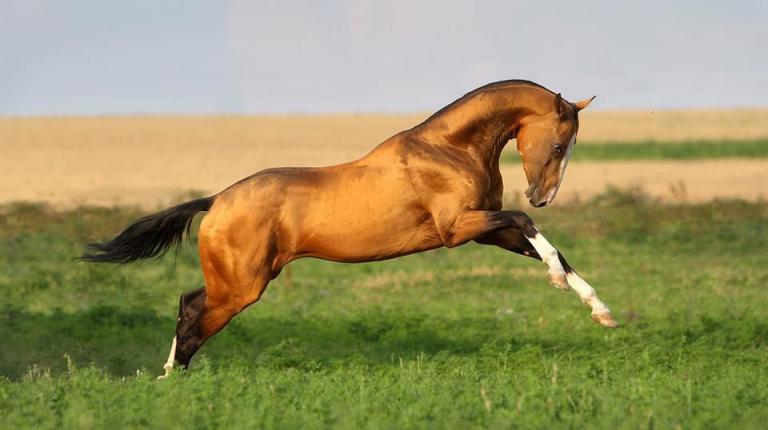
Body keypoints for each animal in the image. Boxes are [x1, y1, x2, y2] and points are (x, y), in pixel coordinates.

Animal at [82, 80, 617, 379]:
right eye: (559, 145)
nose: (542, 195)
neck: (449, 148)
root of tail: (216, 201)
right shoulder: (458, 228)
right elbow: (526, 224)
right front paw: (561, 281)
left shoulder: (483, 229)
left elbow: (546, 245)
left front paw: (602, 311)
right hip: (240, 287)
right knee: (193, 313)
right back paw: (170, 380)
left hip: (235, 281)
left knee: (188, 302)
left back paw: (171, 376)